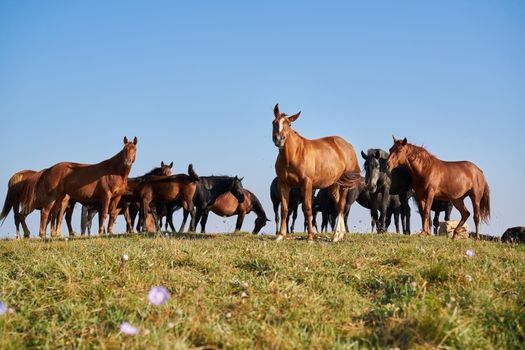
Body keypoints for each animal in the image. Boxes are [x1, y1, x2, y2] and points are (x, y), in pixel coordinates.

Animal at [272, 102, 362, 242]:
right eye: (274, 122)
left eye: (289, 124)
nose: (279, 139)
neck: (294, 155)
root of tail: (348, 145)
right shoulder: (284, 184)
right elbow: (284, 210)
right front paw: (280, 236)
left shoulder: (307, 184)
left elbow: (308, 209)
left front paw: (310, 237)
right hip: (333, 185)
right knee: (338, 207)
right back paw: (339, 235)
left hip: (344, 185)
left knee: (341, 206)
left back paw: (336, 235)